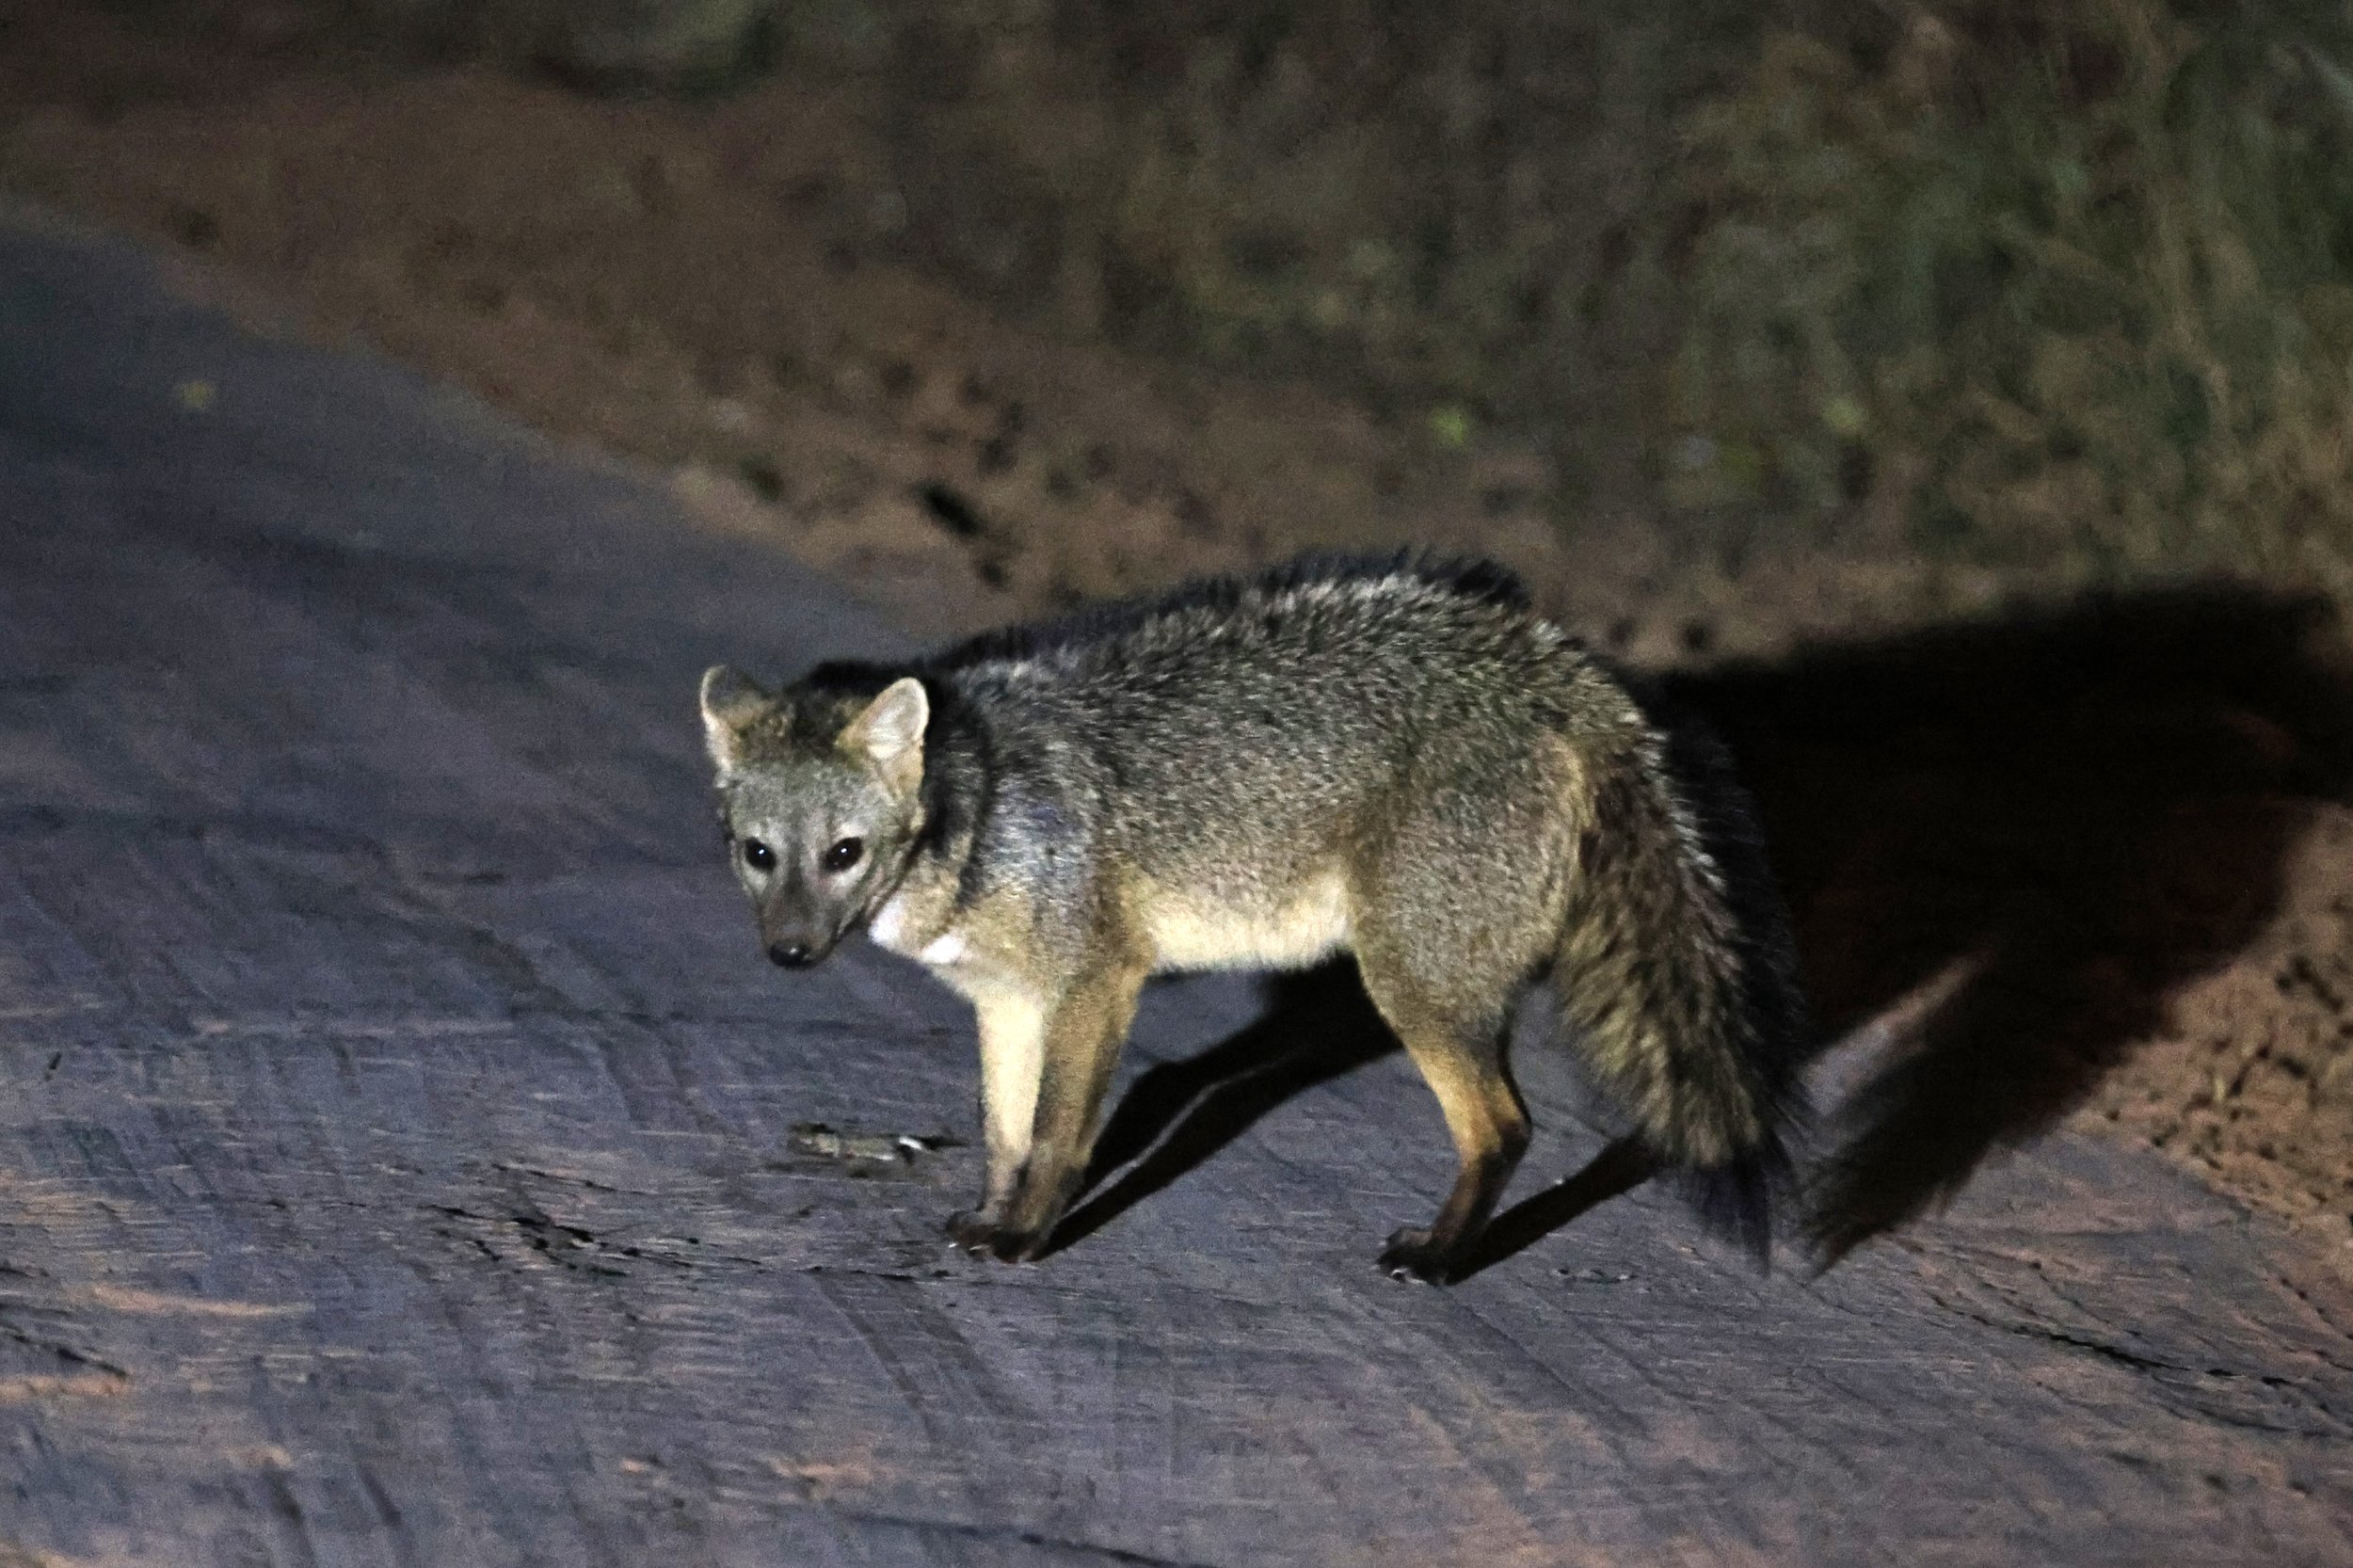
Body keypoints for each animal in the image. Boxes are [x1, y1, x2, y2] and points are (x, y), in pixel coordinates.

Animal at [699, 553, 1809, 1281]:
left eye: (844, 854)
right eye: (760, 856)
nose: (789, 953)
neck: (979, 817)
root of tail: (1551, 668)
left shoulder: (1098, 982)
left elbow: (1057, 1136)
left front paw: (1024, 1239)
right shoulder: (1005, 1001)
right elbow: (1004, 1132)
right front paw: (989, 1216)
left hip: (1409, 989)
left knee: (1505, 1126)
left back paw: (1440, 1260)